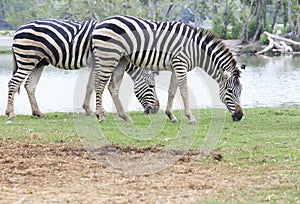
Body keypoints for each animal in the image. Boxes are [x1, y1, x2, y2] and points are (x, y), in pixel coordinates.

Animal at [4, 18, 159, 121]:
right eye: (152, 86)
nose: (156, 110)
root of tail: (19, 29)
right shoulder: (100, 62)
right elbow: (96, 86)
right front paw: (99, 111)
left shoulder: (95, 64)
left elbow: (90, 86)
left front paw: (88, 109)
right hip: (27, 59)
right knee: (13, 83)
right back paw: (10, 114)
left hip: (39, 63)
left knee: (29, 86)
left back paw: (37, 113)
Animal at [91, 15, 246, 123]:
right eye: (230, 91)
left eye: (241, 91)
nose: (240, 116)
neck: (196, 50)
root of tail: (100, 23)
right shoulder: (181, 64)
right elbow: (184, 92)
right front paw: (190, 117)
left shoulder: (176, 67)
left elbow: (172, 91)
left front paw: (171, 116)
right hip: (108, 58)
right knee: (99, 85)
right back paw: (100, 116)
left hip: (121, 60)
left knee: (112, 87)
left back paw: (125, 117)